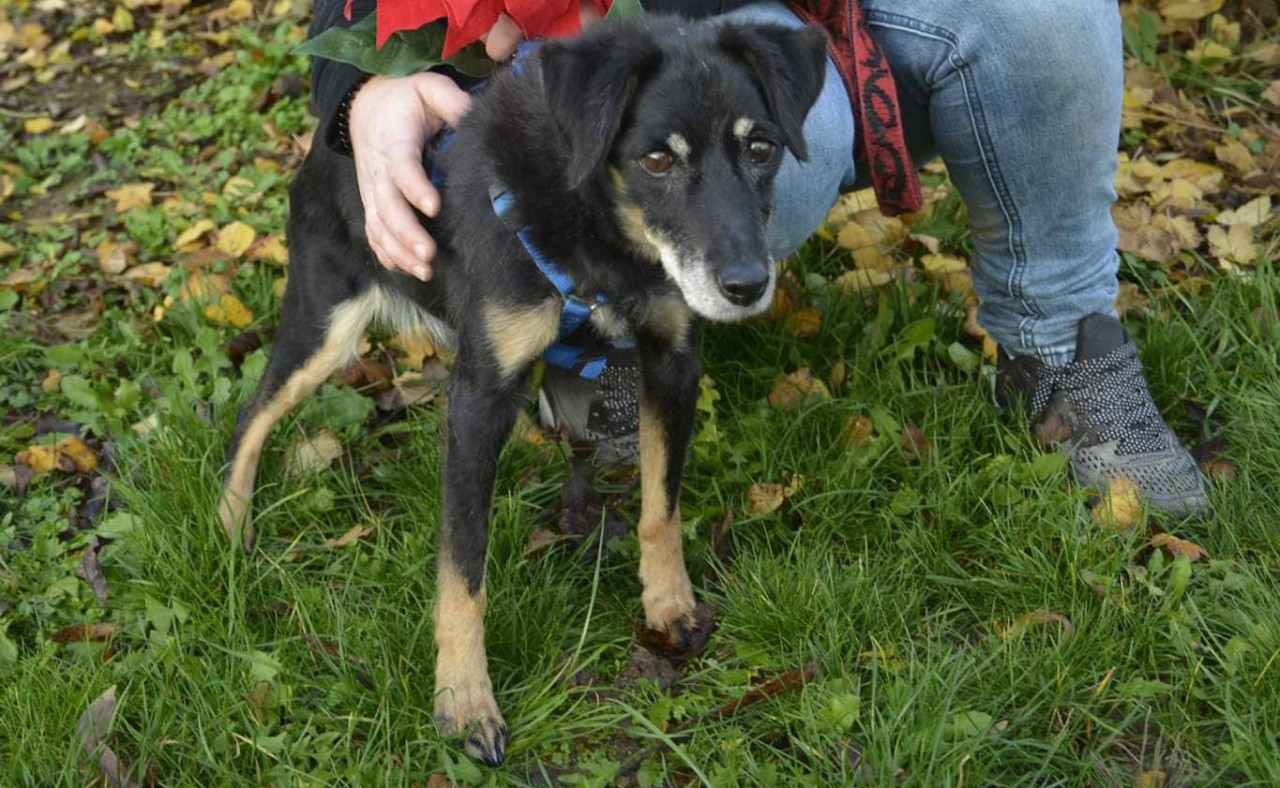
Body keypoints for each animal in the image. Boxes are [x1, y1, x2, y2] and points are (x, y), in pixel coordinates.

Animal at [216, 15, 824, 767]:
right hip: (323, 321)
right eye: (656, 161)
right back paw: (231, 527)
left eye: (761, 148)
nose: (746, 286)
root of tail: (329, 144)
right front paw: (464, 702)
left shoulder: (672, 362)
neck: (598, 231)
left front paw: (668, 606)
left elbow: (661, 508)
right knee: (251, 412)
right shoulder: (478, 399)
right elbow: (463, 571)